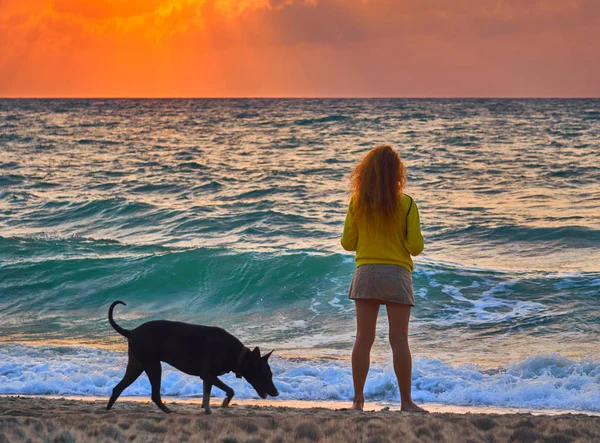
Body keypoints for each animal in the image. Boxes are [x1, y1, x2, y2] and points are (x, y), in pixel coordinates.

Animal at [106, 302, 278, 416]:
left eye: (271, 374)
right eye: (265, 375)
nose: (276, 393)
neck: (238, 355)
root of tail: (132, 331)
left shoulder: (208, 377)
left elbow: (206, 395)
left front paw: (207, 409)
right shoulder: (207, 374)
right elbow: (230, 390)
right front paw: (224, 403)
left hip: (136, 365)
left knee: (117, 388)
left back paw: (108, 409)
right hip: (153, 365)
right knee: (154, 394)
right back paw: (167, 410)